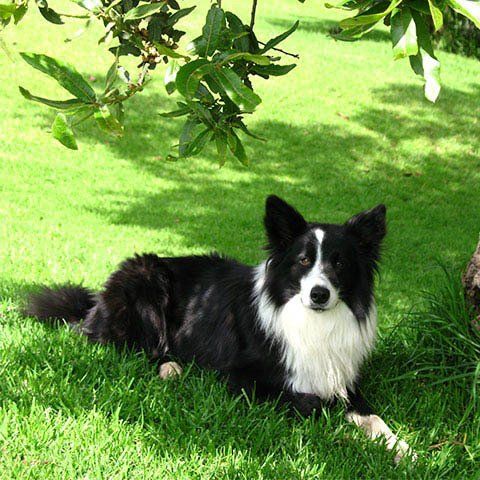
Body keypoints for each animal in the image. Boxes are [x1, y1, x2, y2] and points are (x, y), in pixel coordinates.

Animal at [28, 194, 414, 462]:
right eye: (303, 260)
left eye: (339, 263)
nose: (319, 294)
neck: (312, 321)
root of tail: (95, 304)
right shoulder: (241, 379)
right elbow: (314, 406)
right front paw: (349, 442)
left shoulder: (343, 381)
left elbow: (372, 417)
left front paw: (401, 449)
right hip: (146, 282)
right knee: (141, 349)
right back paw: (171, 367)